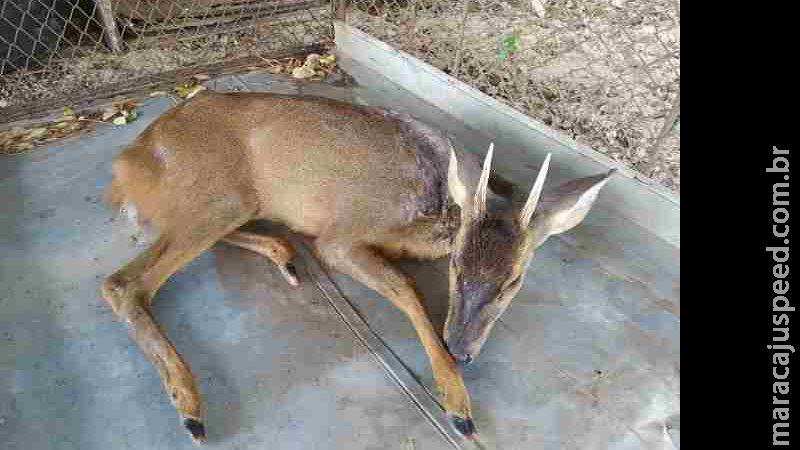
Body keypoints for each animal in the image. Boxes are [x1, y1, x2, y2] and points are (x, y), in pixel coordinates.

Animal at [100, 89, 612, 442]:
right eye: (455, 268)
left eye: (513, 282)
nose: (463, 349)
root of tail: (128, 162)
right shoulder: (341, 236)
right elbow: (407, 288)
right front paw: (457, 403)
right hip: (219, 193)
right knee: (122, 282)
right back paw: (190, 406)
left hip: (229, 202)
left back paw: (283, 255)